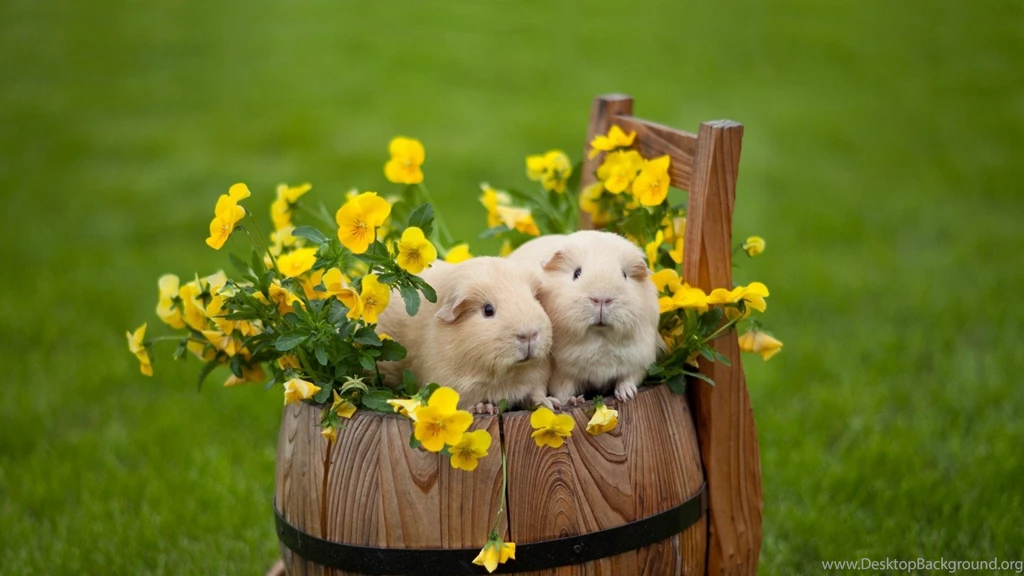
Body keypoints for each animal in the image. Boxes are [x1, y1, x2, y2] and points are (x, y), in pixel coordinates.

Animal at [375, 257, 556, 412]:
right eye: (488, 310)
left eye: (534, 300)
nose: (529, 335)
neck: (508, 377)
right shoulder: (457, 386)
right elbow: (469, 402)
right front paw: (485, 408)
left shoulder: (537, 377)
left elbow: (537, 394)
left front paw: (551, 404)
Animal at [508, 230, 662, 404]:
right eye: (577, 273)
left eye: (624, 275)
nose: (601, 299)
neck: (600, 339)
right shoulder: (563, 373)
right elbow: (563, 391)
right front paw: (573, 401)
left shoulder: (639, 360)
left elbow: (628, 379)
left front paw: (626, 395)